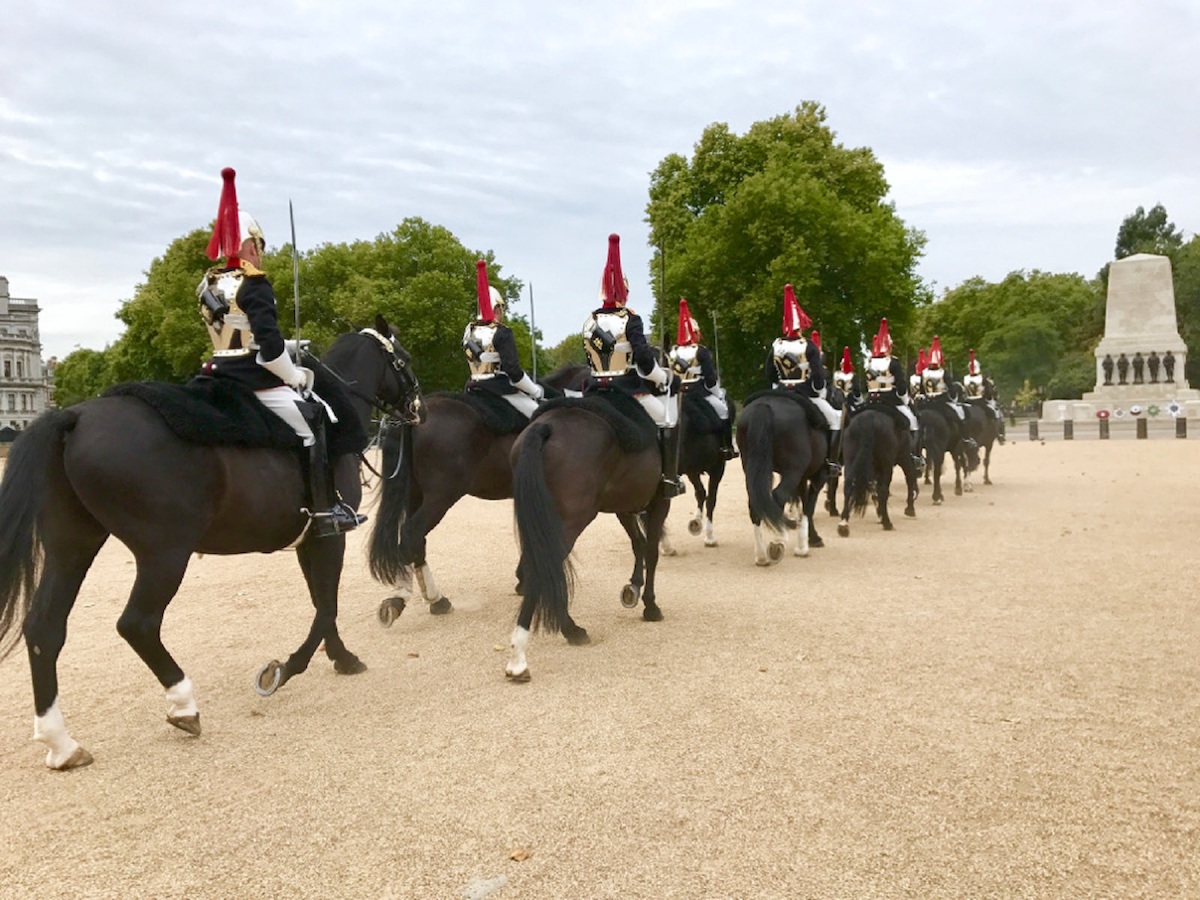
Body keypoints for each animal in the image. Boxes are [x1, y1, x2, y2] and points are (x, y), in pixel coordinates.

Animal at [0, 316, 422, 768]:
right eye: (403, 359)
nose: (420, 407)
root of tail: (75, 416)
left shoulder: (310, 539)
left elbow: (320, 602)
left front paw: (342, 658)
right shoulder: (330, 536)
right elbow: (327, 605)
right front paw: (285, 669)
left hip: (73, 548)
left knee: (44, 629)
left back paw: (61, 743)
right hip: (164, 554)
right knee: (137, 624)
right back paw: (183, 705)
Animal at [367, 362, 588, 624]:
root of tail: (414, 417)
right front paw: (527, 578)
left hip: (415, 496)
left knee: (416, 541)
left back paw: (430, 599)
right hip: (440, 499)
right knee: (412, 534)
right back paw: (407, 597)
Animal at [501, 393, 681, 681]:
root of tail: (546, 427)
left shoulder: (624, 504)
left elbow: (639, 544)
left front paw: (633, 588)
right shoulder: (659, 503)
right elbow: (652, 551)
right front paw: (650, 606)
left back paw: (566, 630)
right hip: (570, 523)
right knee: (544, 571)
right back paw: (522, 656)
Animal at [734, 393, 830, 564]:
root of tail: (764, 405)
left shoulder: (802, 478)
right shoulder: (813, 478)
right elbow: (808, 507)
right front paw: (807, 543)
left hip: (752, 469)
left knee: (756, 504)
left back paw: (761, 555)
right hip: (793, 472)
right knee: (778, 497)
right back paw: (777, 540)